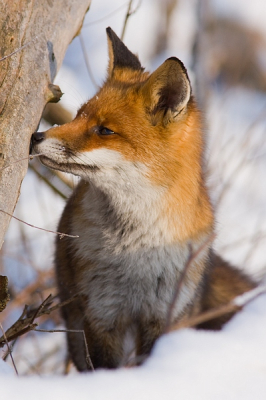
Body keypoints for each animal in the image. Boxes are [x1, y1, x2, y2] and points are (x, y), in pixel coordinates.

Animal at [31, 28, 256, 372]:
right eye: (79, 115)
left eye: (104, 130)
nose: (36, 137)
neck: (134, 248)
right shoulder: (101, 314)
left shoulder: (163, 316)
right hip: (74, 322)